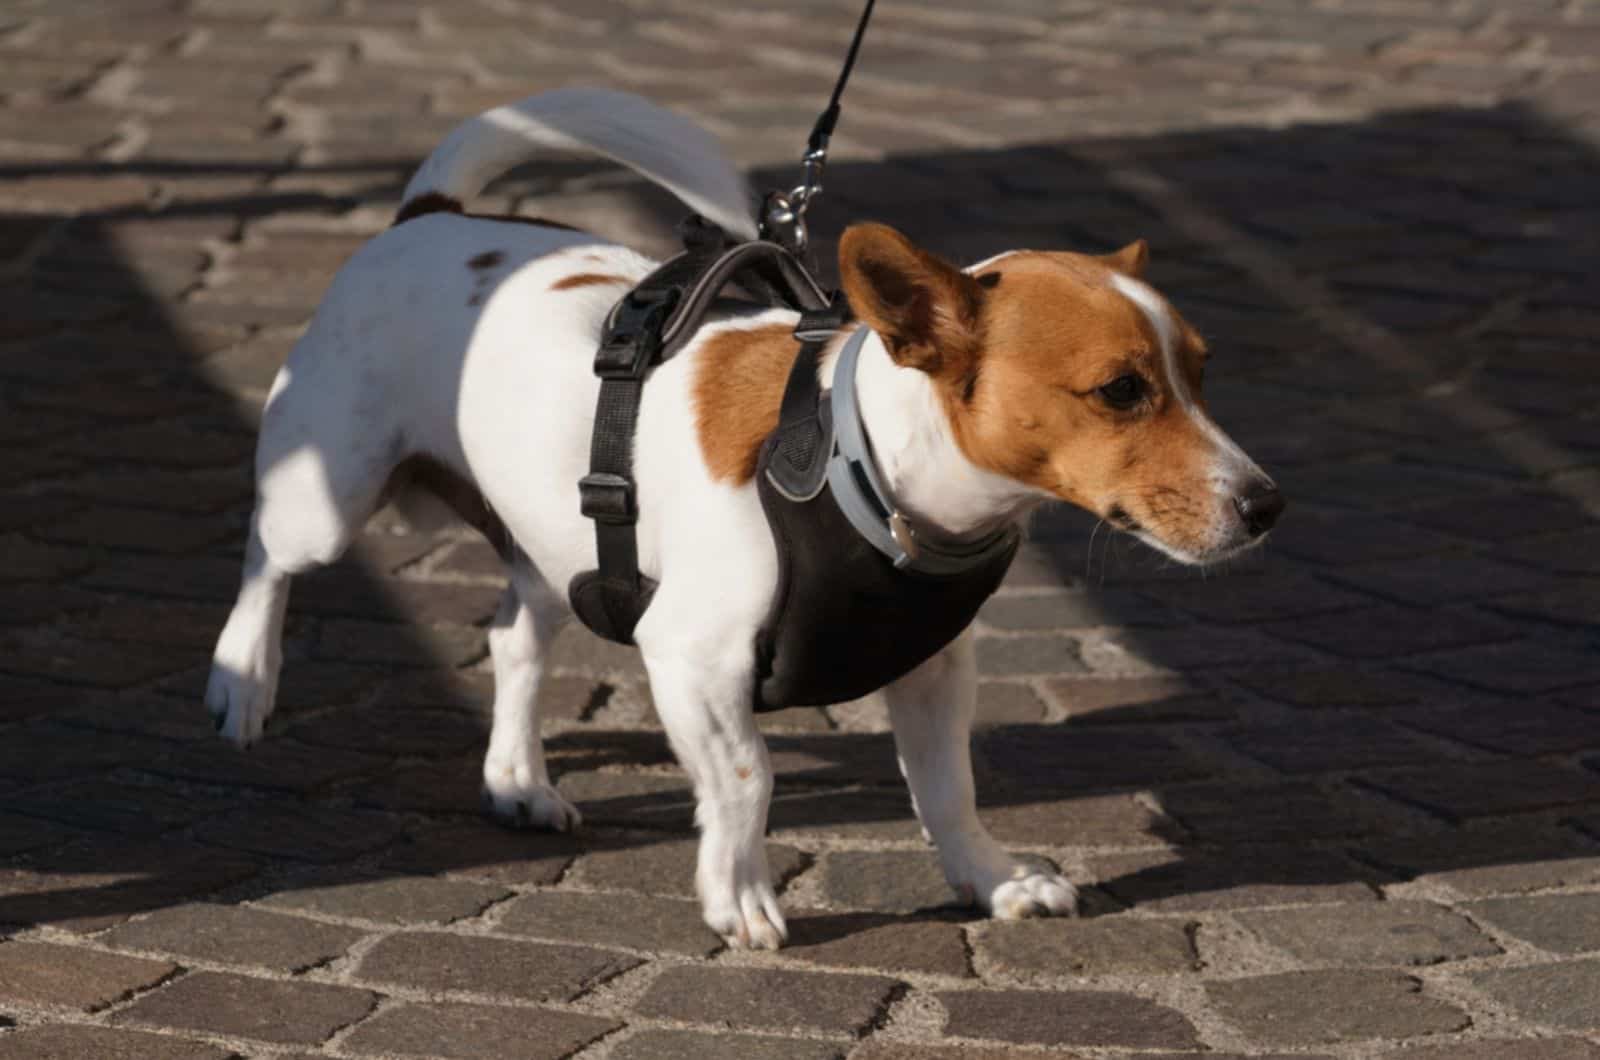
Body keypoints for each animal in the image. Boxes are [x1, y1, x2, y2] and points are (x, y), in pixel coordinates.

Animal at [209, 87, 1286, 947]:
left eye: (1200, 371)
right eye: (1119, 391)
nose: (1268, 505)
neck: (865, 471)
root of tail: (431, 217)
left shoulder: (935, 671)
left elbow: (950, 788)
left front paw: (990, 879)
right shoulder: (692, 658)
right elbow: (745, 779)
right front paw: (740, 897)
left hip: (558, 547)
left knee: (514, 636)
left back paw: (517, 775)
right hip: (329, 492)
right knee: (268, 557)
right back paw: (244, 677)